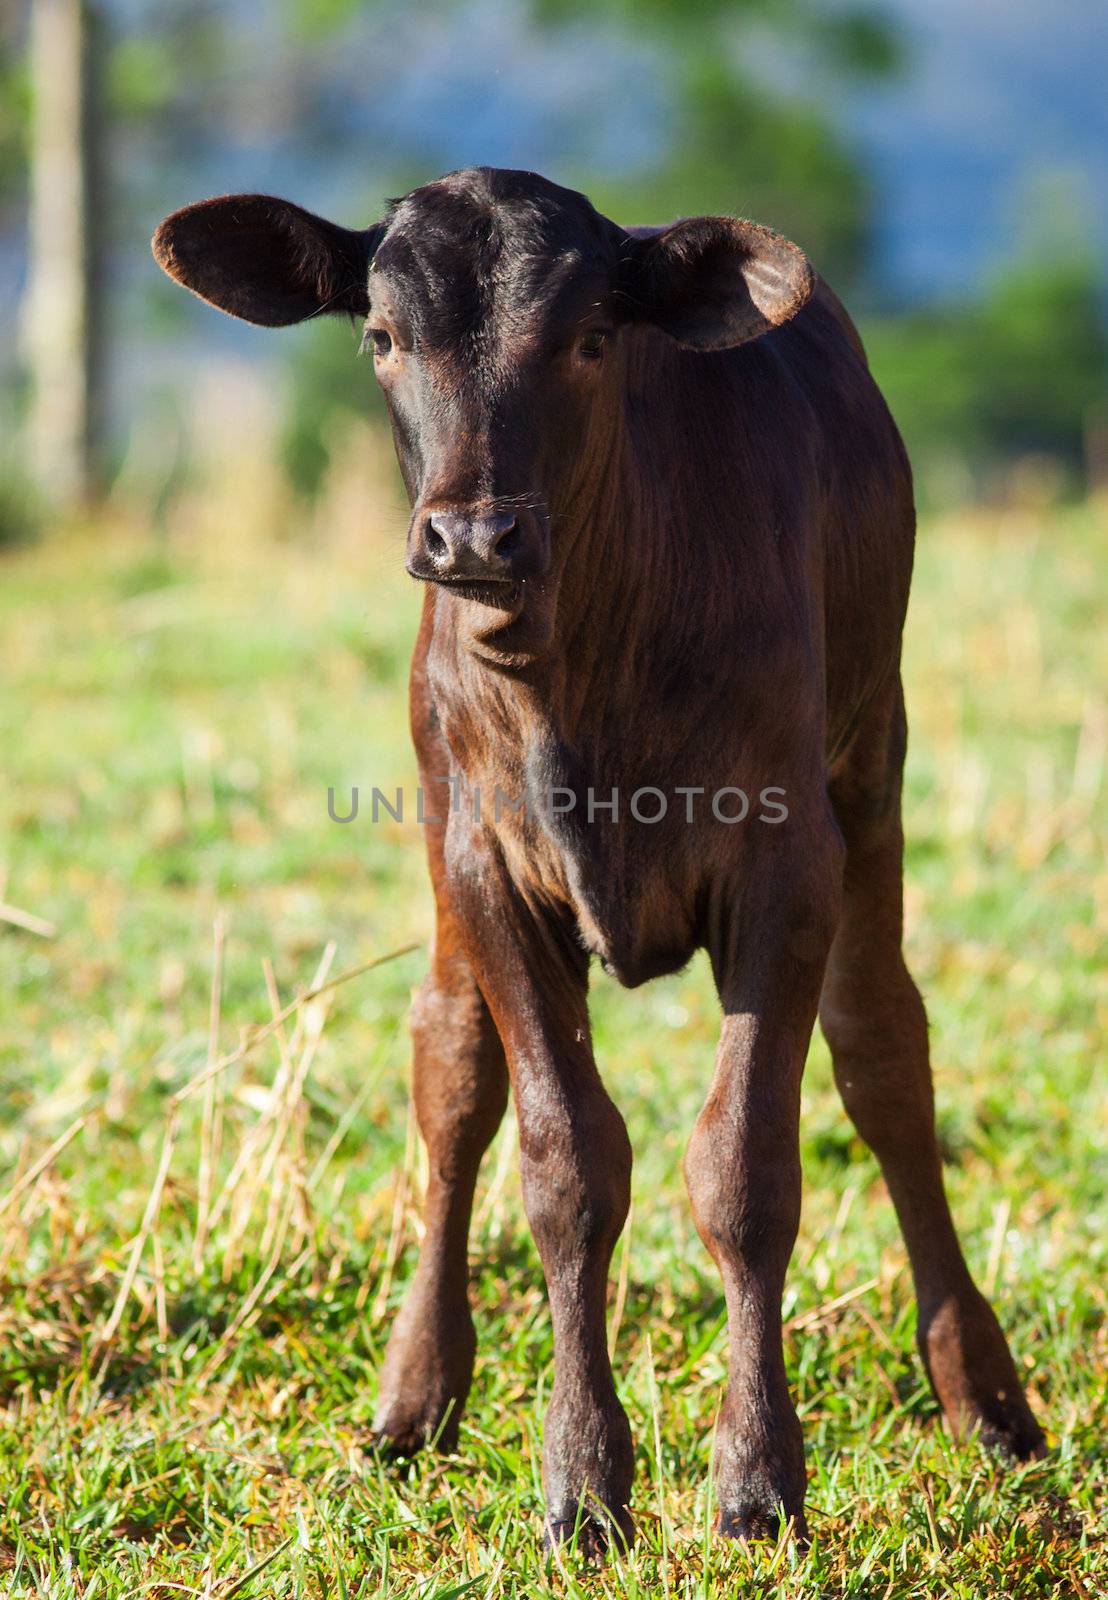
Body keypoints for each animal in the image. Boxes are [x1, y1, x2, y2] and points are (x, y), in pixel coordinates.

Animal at [156, 165, 1050, 1548]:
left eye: (585, 338)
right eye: (381, 336)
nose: (472, 539)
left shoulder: (787, 861)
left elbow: (747, 1165)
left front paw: (756, 1475)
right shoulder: (486, 865)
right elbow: (565, 1160)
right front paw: (581, 1477)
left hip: (873, 769)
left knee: (884, 1055)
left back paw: (986, 1397)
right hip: (440, 839)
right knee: (451, 1069)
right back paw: (413, 1398)